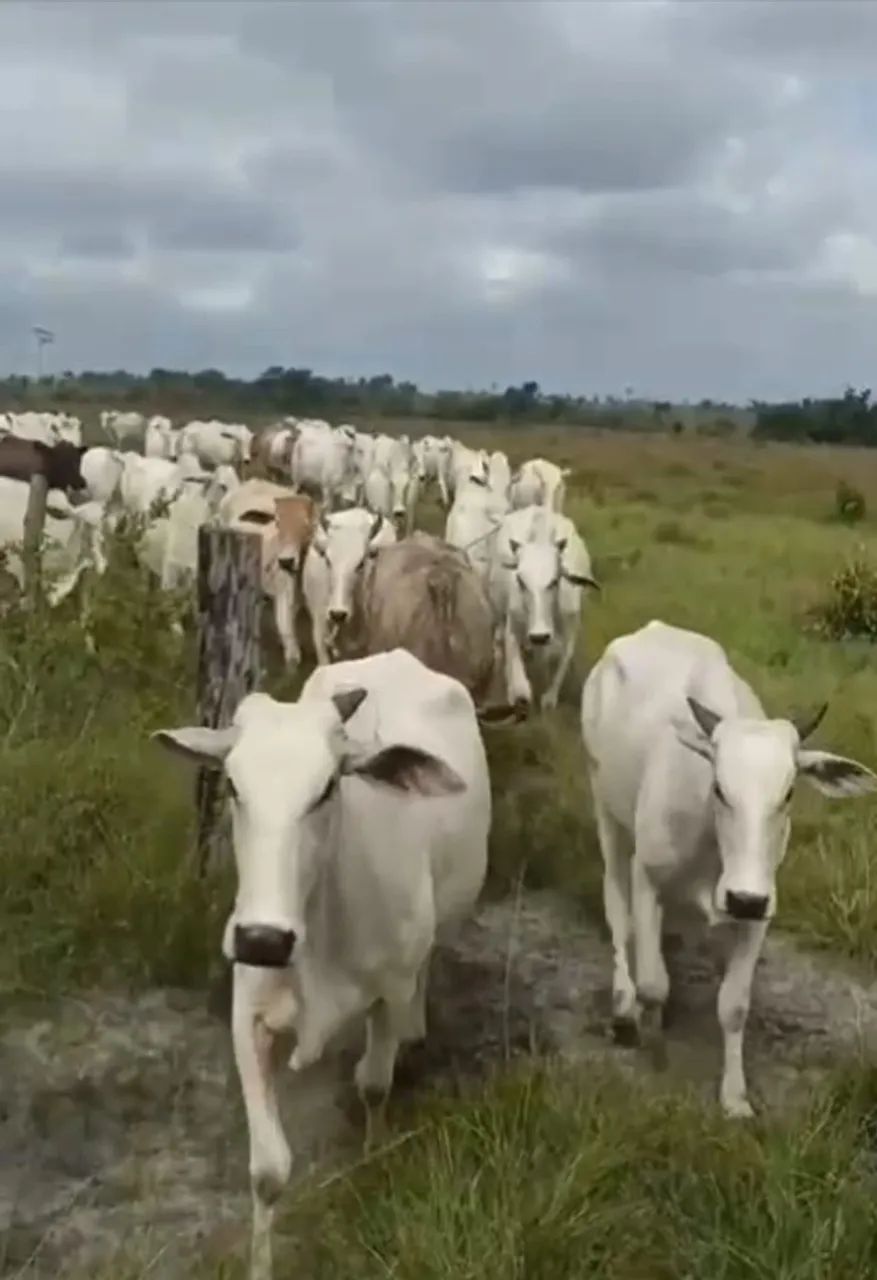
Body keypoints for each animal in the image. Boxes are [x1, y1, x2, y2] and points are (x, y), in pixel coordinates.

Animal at [150, 646, 491, 1280]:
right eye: (233, 785)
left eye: (328, 787)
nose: (263, 939)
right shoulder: (247, 1013)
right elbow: (268, 1171)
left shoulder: (388, 990)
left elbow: (374, 1086)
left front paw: (372, 1164)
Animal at [491, 505, 599, 713]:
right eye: (520, 580)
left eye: (554, 580)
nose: (539, 636)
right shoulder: (512, 624)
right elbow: (515, 666)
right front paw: (516, 692)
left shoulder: (570, 628)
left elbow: (563, 661)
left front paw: (549, 698)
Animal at [580, 619, 877, 1118]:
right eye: (719, 787)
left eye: (789, 793)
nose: (742, 898)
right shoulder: (648, 877)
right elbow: (653, 984)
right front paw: (657, 1055)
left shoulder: (761, 907)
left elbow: (734, 1006)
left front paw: (735, 1098)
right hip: (606, 809)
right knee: (617, 910)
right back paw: (623, 1005)